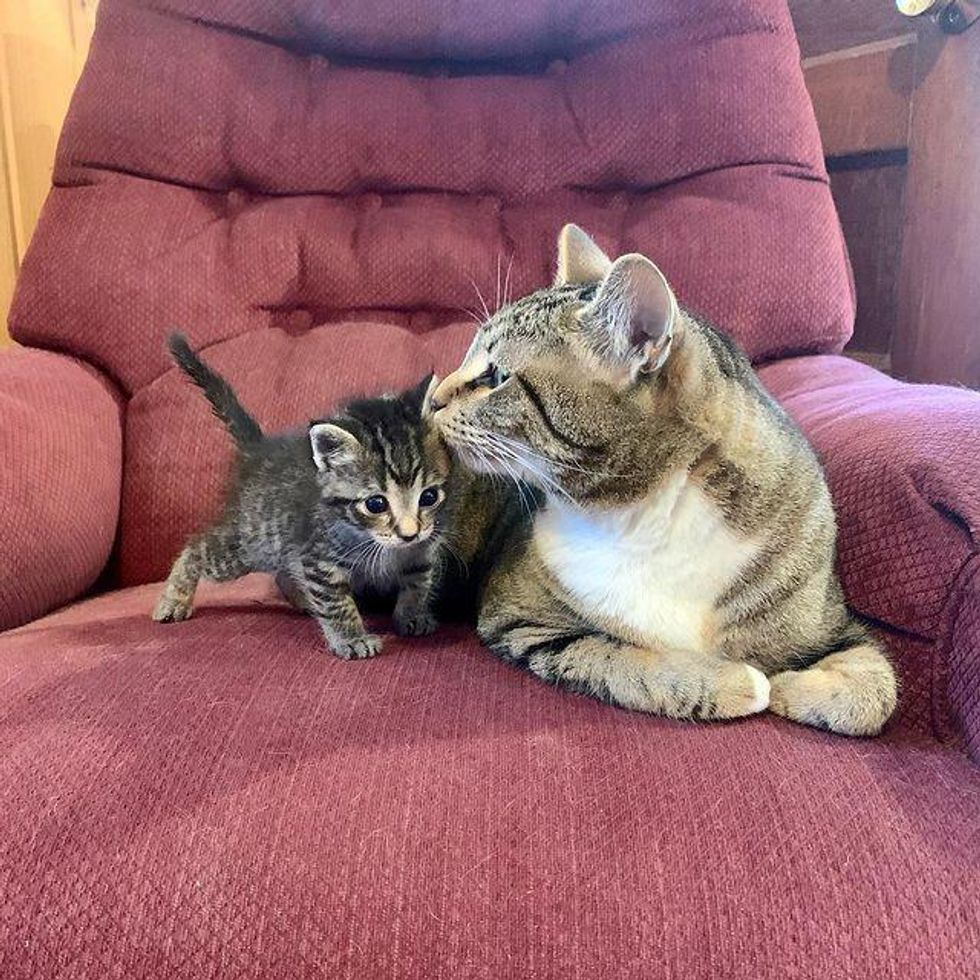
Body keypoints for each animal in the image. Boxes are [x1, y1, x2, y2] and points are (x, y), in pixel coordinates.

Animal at [152, 334, 448, 664]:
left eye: (429, 496)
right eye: (376, 504)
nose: (409, 534)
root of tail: (258, 449)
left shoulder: (422, 551)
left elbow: (417, 582)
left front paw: (412, 615)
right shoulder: (318, 557)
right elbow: (336, 602)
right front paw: (352, 638)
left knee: (282, 572)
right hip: (248, 544)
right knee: (196, 549)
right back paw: (173, 600)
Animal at [432, 226, 900, 732]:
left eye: (496, 375)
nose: (433, 398)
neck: (647, 511)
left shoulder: (833, 622)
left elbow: (876, 688)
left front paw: (791, 685)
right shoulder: (521, 619)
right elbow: (618, 659)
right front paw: (742, 684)